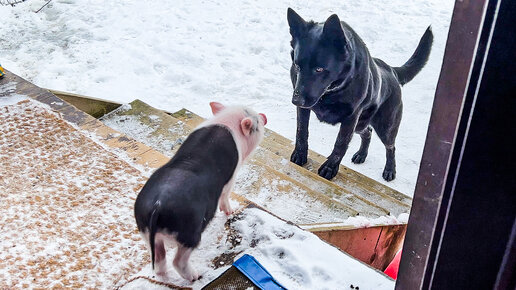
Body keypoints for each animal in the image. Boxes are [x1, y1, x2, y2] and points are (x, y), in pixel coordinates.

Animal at [288, 8, 434, 181]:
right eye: (297, 66)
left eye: (319, 69)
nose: (296, 100)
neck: (332, 91)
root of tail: (392, 71)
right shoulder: (305, 110)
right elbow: (301, 131)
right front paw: (300, 154)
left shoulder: (351, 117)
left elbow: (340, 144)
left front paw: (330, 167)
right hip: (361, 124)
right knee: (368, 133)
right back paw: (362, 154)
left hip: (385, 127)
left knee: (391, 147)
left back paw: (390, 169)